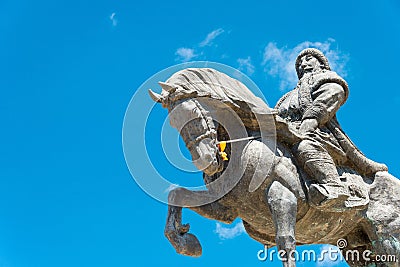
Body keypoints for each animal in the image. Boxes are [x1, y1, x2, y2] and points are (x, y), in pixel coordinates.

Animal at [148, 68, 400, 266]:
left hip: (388, 239)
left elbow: (285, 243)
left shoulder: (282, 194)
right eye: (173, 123)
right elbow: (176, 195)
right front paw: (186, 243)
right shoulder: (226, 209)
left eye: (193, 113)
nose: (206, 162)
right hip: (358, 246)